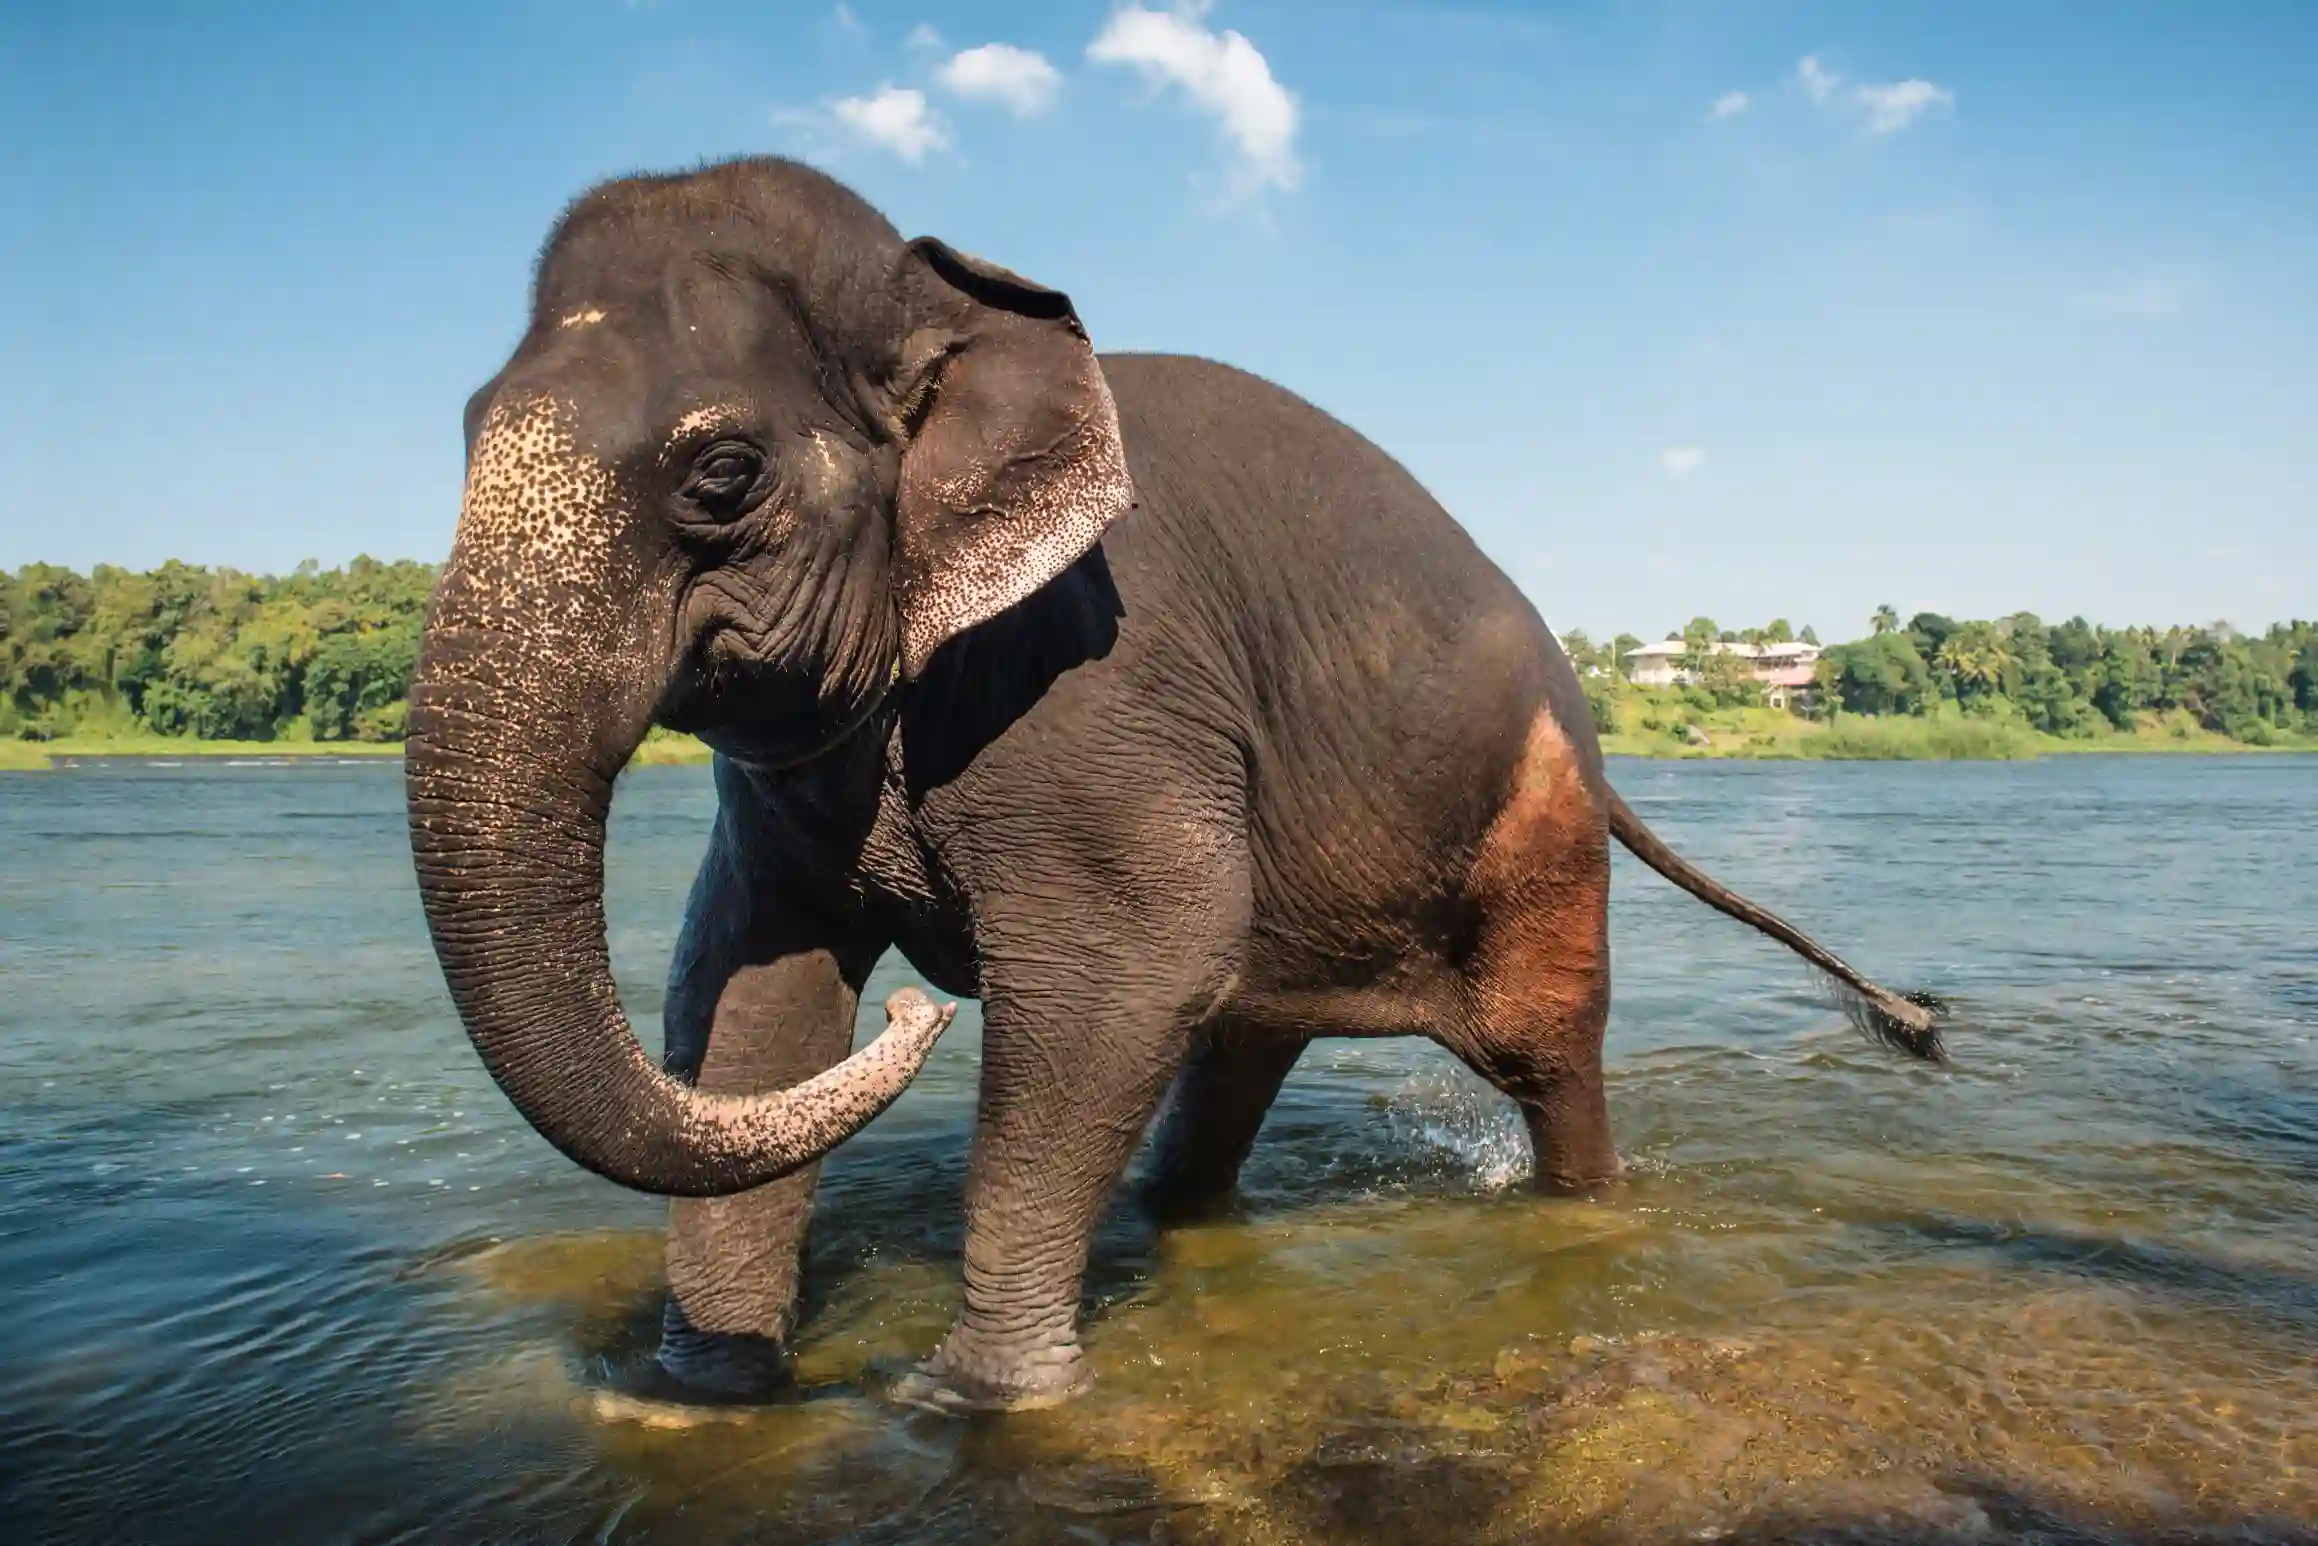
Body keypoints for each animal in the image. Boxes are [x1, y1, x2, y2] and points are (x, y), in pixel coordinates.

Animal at [405, 155, 1944, 1413]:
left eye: (720, 472)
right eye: (464, 425)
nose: (914, 1011)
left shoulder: (1102, 678)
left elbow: (1128, 960)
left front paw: (977, 1401)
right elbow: (753, 990)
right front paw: (702, 1395)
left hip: (1537, 822)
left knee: (1531, 1048)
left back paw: (1577, 1209)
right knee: (1237, 1039)